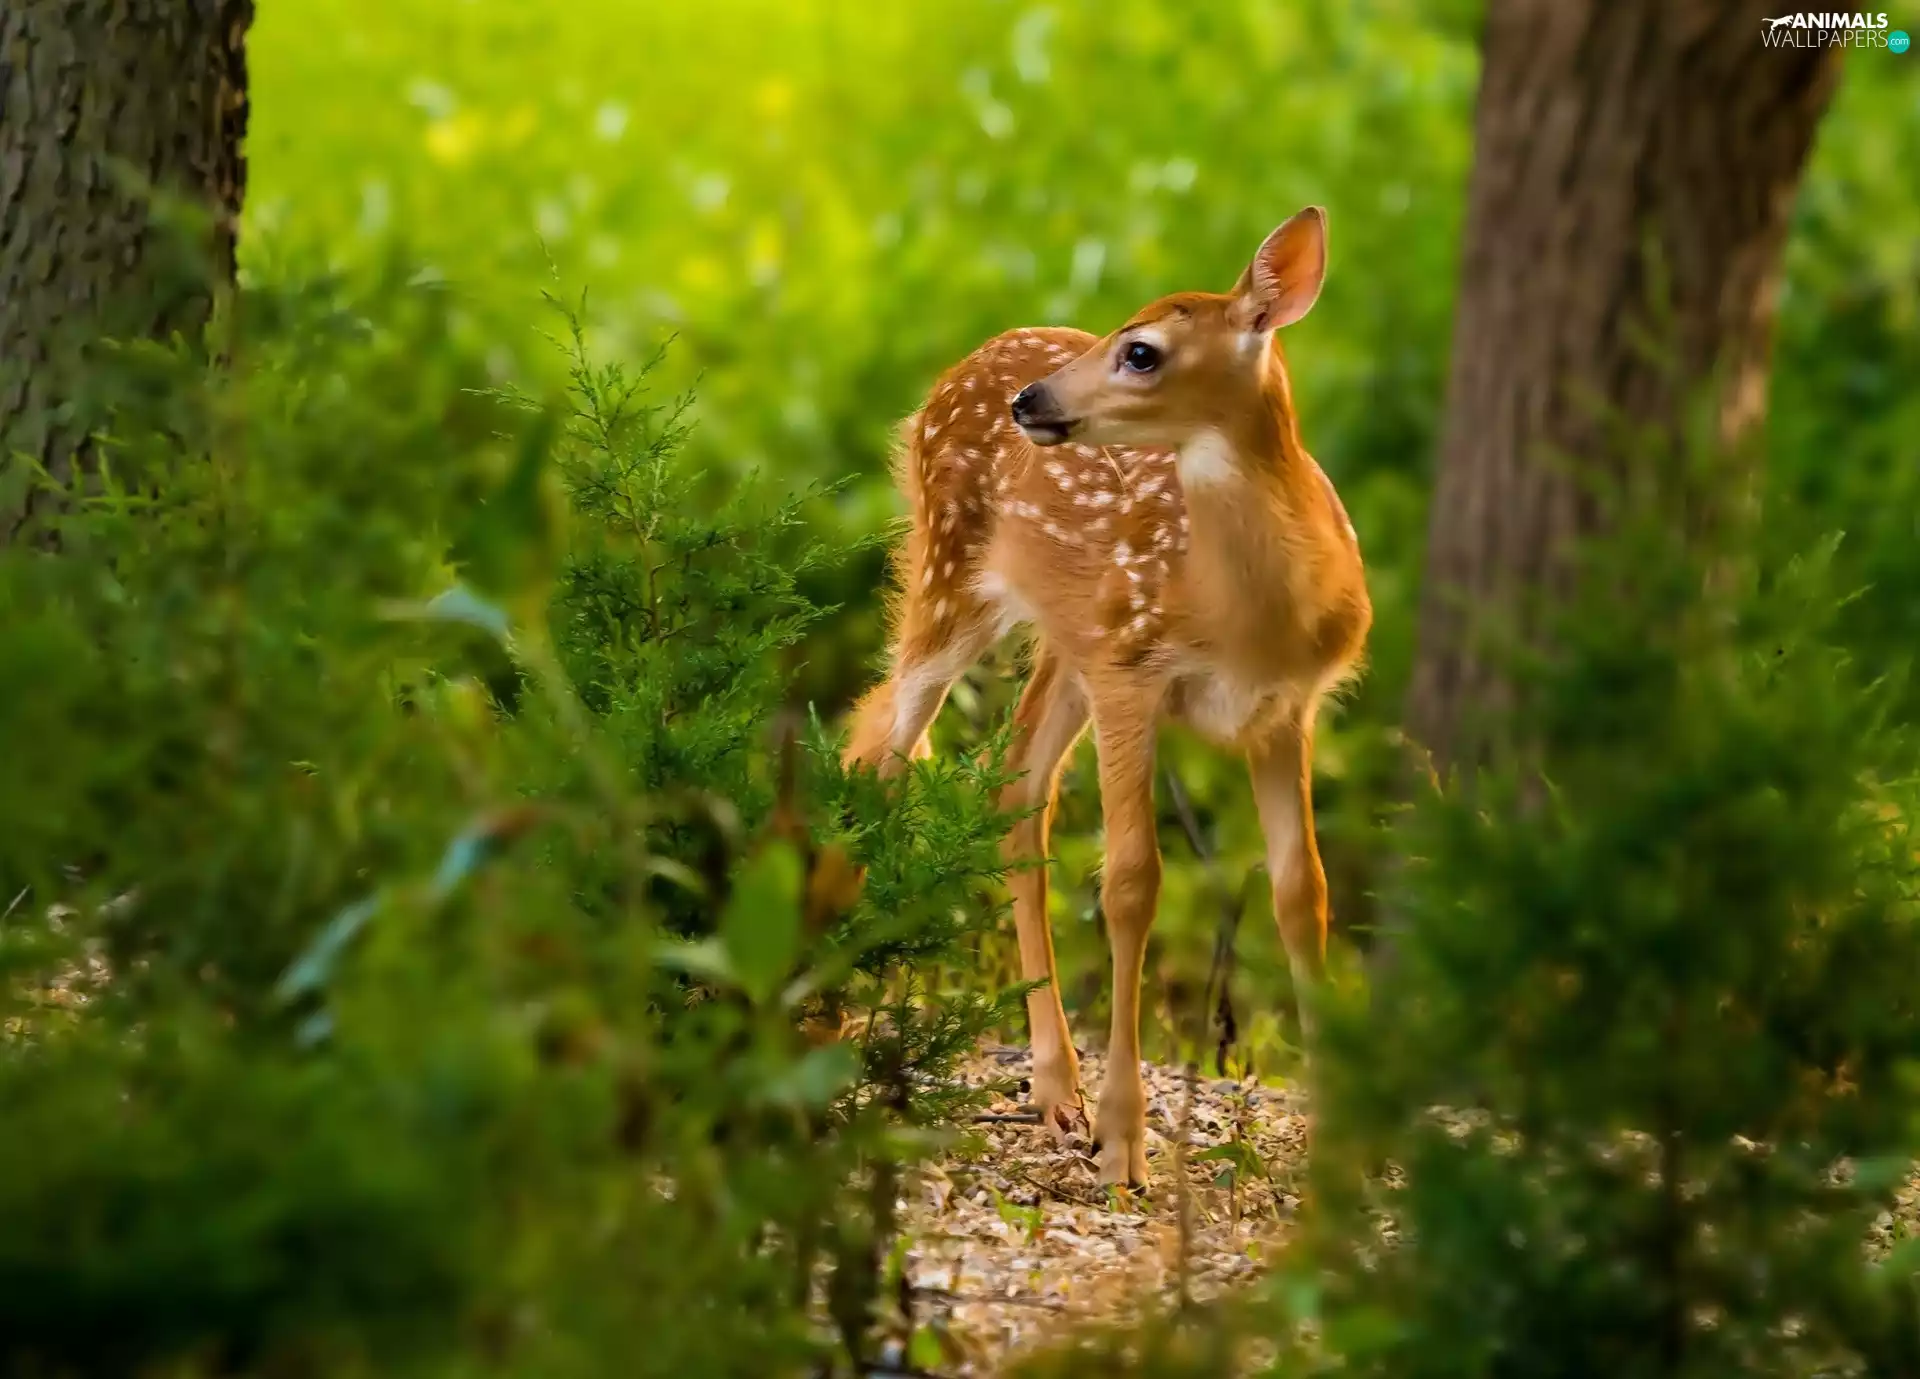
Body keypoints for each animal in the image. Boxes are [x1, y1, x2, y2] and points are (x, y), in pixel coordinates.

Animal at [843, 206, 1370, 1188]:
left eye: (1142, 351)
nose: (1032, 403)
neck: (1247, 614)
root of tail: (963, 366)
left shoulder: (1286, 709)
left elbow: (1301, 891)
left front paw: (1339, 1140)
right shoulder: (1134, 672)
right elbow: (1131, 881)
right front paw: (1125, 1140)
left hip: (1067, 639)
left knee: (1012, 783)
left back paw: (1056, 1088)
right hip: (948, 574)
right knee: (882, 746)